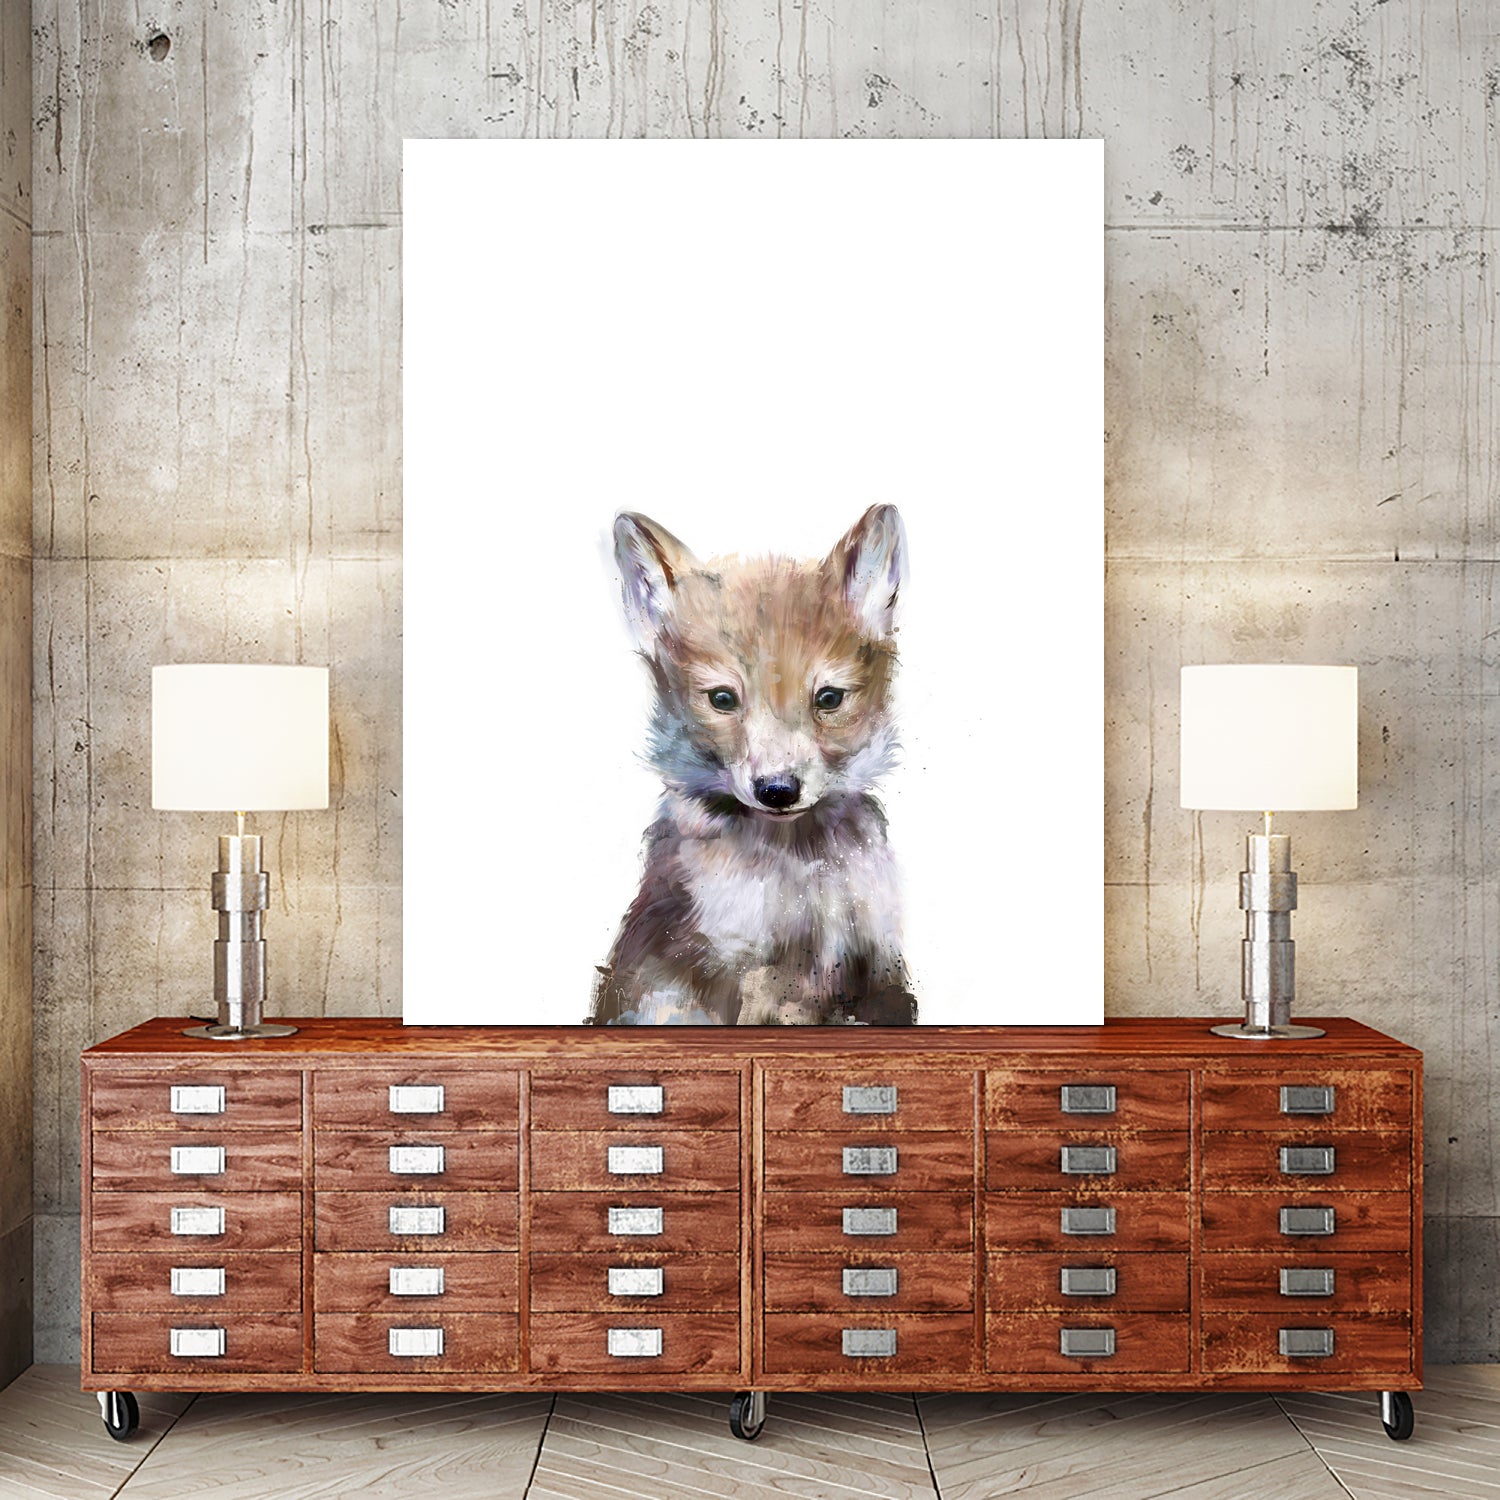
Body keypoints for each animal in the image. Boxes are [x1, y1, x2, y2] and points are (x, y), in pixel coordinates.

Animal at [589, 505, 916, 1027]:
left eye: (829, 699)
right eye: (723, 699)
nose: (778, 790)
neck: (797, 871)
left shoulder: (873, 965)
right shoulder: (731, 969)